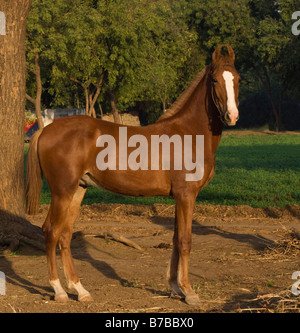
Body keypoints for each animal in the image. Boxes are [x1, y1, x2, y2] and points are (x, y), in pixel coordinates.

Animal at [26, 44, 241, 306]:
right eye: (214, 80)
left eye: (237, 79)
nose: (232, 116)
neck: (188, 133)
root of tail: (47, 129)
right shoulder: (186, 195)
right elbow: (185, 241)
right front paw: (189, 292)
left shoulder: (178, 198)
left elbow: (175, 240)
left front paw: (174, 287)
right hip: (62, 192)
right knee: (51, 231)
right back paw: (58, 291)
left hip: (78, 190)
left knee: (65, 236)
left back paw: (81, 291)